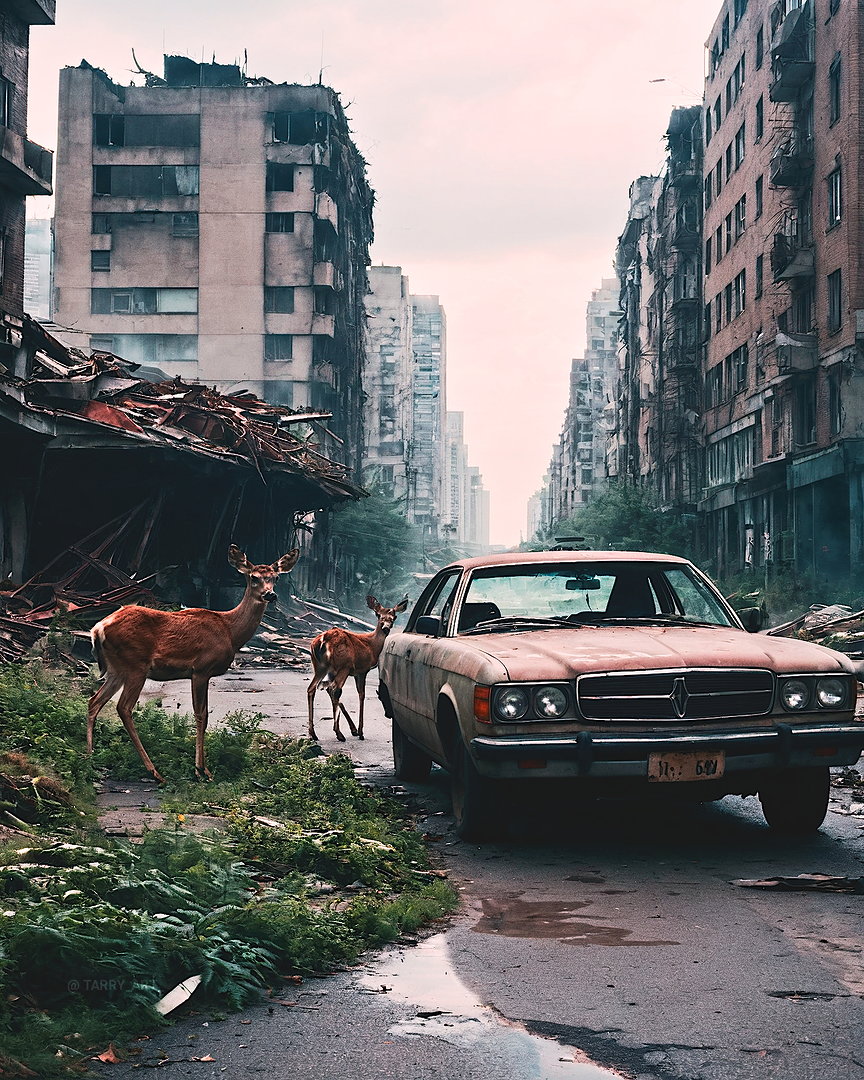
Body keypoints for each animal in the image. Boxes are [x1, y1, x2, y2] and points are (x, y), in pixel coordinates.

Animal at [86, 544, 298, 781]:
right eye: (254, 577)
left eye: (276, 577)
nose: (270, 594)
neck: (230, 631)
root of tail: (98, 628)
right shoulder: (201, 669)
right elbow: (201, 715)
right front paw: (201, 770)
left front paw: (202, 768)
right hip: (135, 665)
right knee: (123, 707)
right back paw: (154, 771)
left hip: (117, 669)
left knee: (94, 701)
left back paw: (89, 758)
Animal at [306, 591, 408, 743]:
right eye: (378, 615)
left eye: (394, 617)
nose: (385, 628)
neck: (372, 646)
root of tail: (323, 640)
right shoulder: (362, 670)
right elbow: (362, 695)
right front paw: (360, 731)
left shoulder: (349, 672)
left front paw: (354, 730)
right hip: (343, 665)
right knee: (334, 689)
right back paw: (339, 733)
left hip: (320, 666)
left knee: (312, 688)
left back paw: (313, 733)